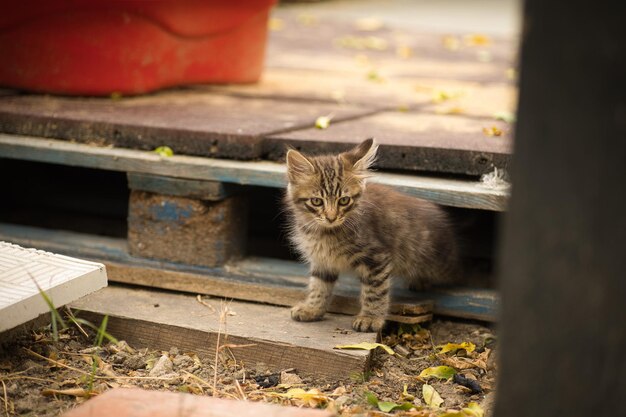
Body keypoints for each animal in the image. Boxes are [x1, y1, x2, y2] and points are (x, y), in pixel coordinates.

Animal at [286, 139, 456, 332]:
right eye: (316, 201)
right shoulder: (322, 261)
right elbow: (318, 285)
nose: (331, 217)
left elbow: (375, 291)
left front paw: (370, 318)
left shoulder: (376, 258)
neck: (324, 232)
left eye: (344, 200)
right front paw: (312, 308)